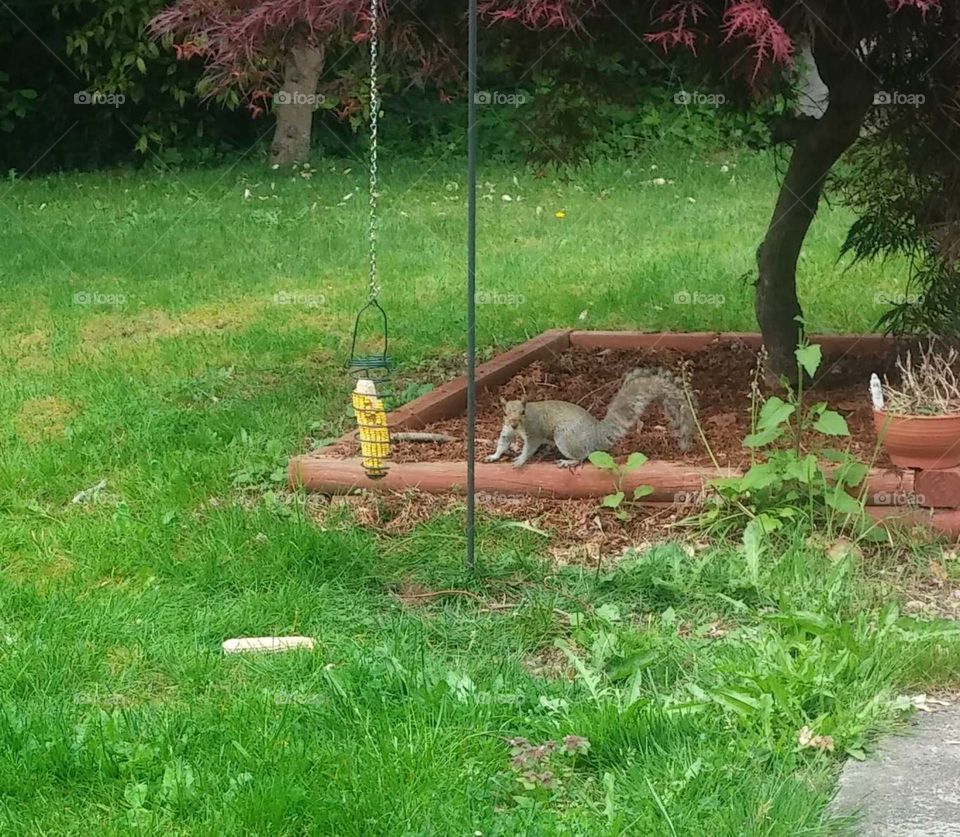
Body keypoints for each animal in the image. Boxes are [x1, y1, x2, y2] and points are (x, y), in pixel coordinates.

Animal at [485, 367, 697, 469]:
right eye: (504, 413)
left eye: (523, 412)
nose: (513, 423)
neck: (519, 428)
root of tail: (597, 434)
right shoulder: (507, 430)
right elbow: (503, 442)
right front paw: (494, 456)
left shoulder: (534, 431)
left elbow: (530, 447)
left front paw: (521, 460)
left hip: (565, 436)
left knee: (582, 457)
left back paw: (567, 462)